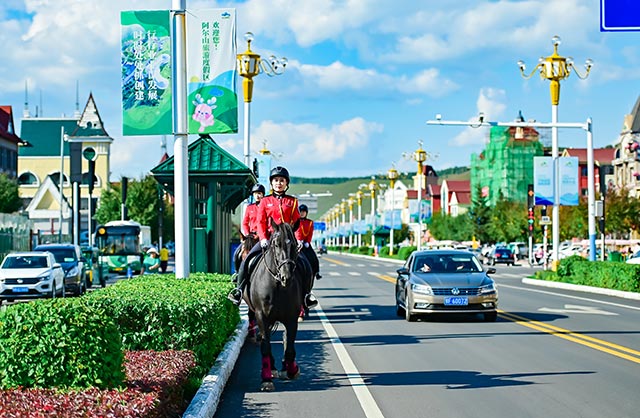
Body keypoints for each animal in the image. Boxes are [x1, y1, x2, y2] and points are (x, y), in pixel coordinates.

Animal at [242, 219, 312, 392]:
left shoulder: (291, 317)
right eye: (275, 244)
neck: (278, 285)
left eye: (294, 244)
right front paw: (266, 379)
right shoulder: (262, 316)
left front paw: (292, 369)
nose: (286, 276)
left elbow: (290, 345)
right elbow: (266, 346)